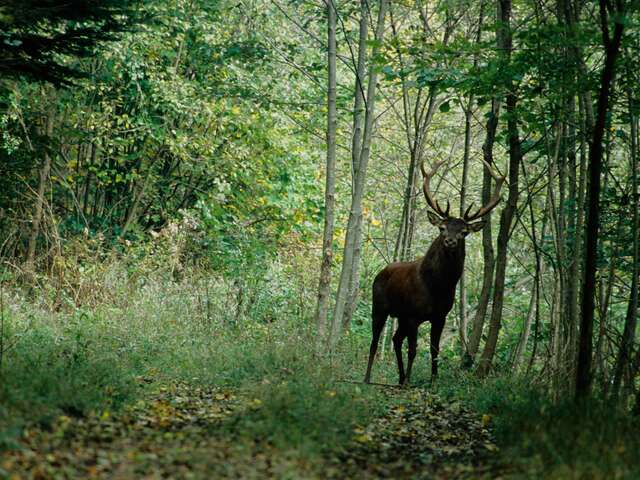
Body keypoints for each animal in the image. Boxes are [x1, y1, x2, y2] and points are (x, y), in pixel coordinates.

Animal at [362, 160, 502, 386]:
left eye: (464, 232)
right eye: (442, 228)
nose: (450, 241)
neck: (436, 286)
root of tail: (381, 272)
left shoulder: (440, 316)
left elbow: (434, 350)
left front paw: (433, 381)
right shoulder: (413, 314)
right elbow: (413, 350)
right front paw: (410, 382)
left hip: (400, 316)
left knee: (395, 339)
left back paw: (400, 377)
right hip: (380, 306)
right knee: (375, 341)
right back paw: (369, 378)